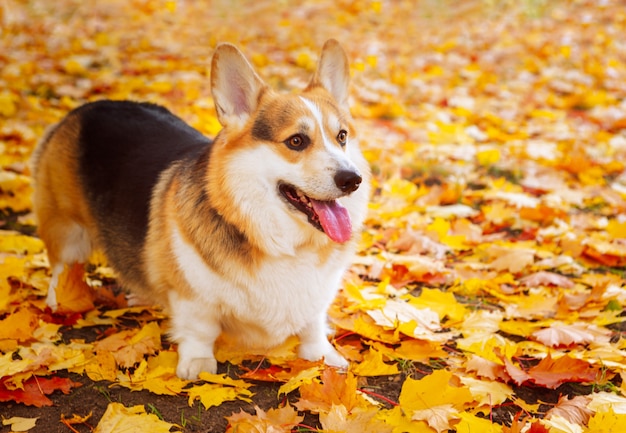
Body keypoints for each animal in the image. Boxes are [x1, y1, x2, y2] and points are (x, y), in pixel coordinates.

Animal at [31, 39, 368, 378]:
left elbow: (313, 325)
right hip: (66, 230)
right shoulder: (192, 296)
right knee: (61, 268)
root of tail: (87, 107)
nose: (352, 179)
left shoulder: (318, 294)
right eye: (296, 141)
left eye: (342, 137)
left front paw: (323, 356)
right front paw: (197, 364)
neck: (282, 242)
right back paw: (61, 300)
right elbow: (199, 330)